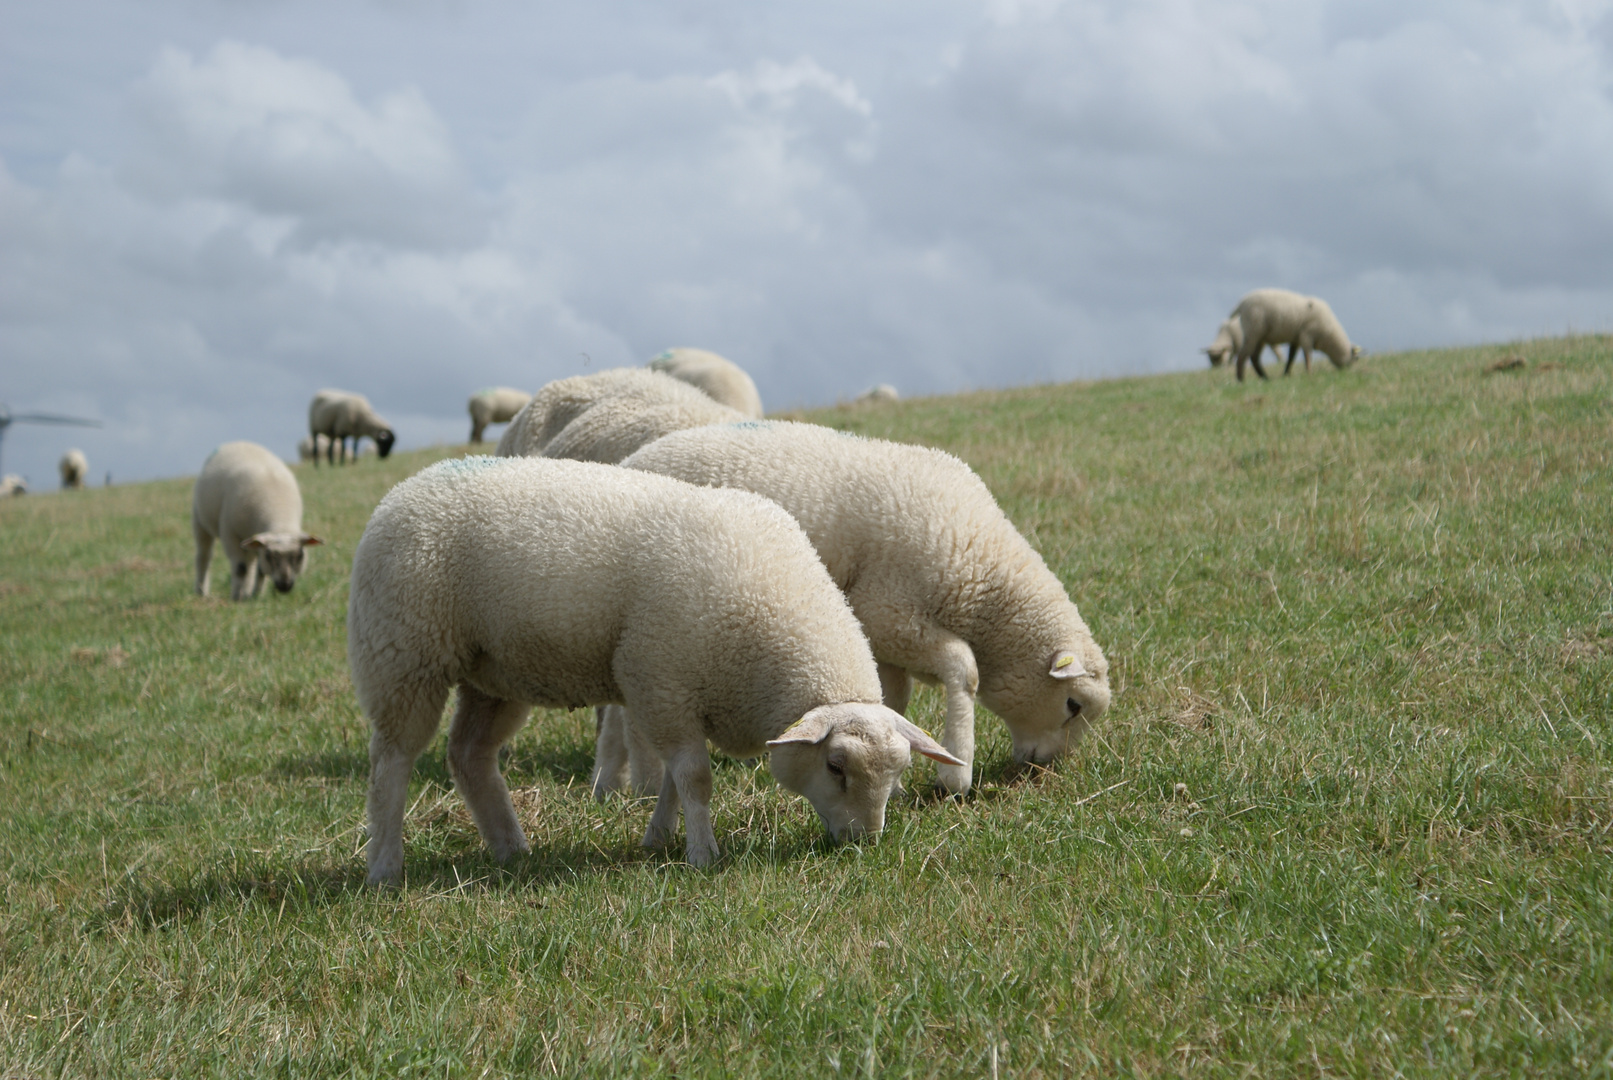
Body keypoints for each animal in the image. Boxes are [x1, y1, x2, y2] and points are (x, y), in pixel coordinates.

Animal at [191, 444, 324, 606]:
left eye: (300, 555)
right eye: (269, 555)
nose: (284, 586)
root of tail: (237, 442)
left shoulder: (259, 542)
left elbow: (260, 570)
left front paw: (256, 596)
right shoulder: (230, 532)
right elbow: (240, 568)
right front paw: (236, 598)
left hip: (250, 539)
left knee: (251, 564)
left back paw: (246, 592)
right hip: (199, 520)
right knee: (204, 556)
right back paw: (202, 592)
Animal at [350, 451, 954, 883]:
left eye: (899, 772)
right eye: (834, 766)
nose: (865, 843)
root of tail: (403, 490)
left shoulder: (680, 693)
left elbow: (672, 778)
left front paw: (660, 838)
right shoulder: (660, 680)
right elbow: (694, 776)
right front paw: (703, 855)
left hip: (493, 673)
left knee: (469, 755)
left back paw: (511, 849)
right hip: (403, 655)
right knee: (392, 761)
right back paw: (385, 868)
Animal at [609, 422, 1116, 796]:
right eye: (1072, 705)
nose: (1044, 769)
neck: (978, 569)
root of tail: (630, 461)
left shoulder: (886, 640)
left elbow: (893, 698)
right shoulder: (888, 614)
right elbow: (964, 668)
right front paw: (956, 774)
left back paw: (611, 781)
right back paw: (640, 783)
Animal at [1219, 290, 1361, 383]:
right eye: (1355, 359)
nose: (1347, 373)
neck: (1329, 335)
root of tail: (1241, 304)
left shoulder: (1296, 339)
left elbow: (1291, 358)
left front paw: (1286, 374)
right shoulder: (1306, 336)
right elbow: (1307, 355)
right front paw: (1309, 373)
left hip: (1260, 336)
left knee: (1254, 357)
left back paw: (1265, 378)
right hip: (1253, 331)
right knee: (1243, 356)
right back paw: (1241, 380)